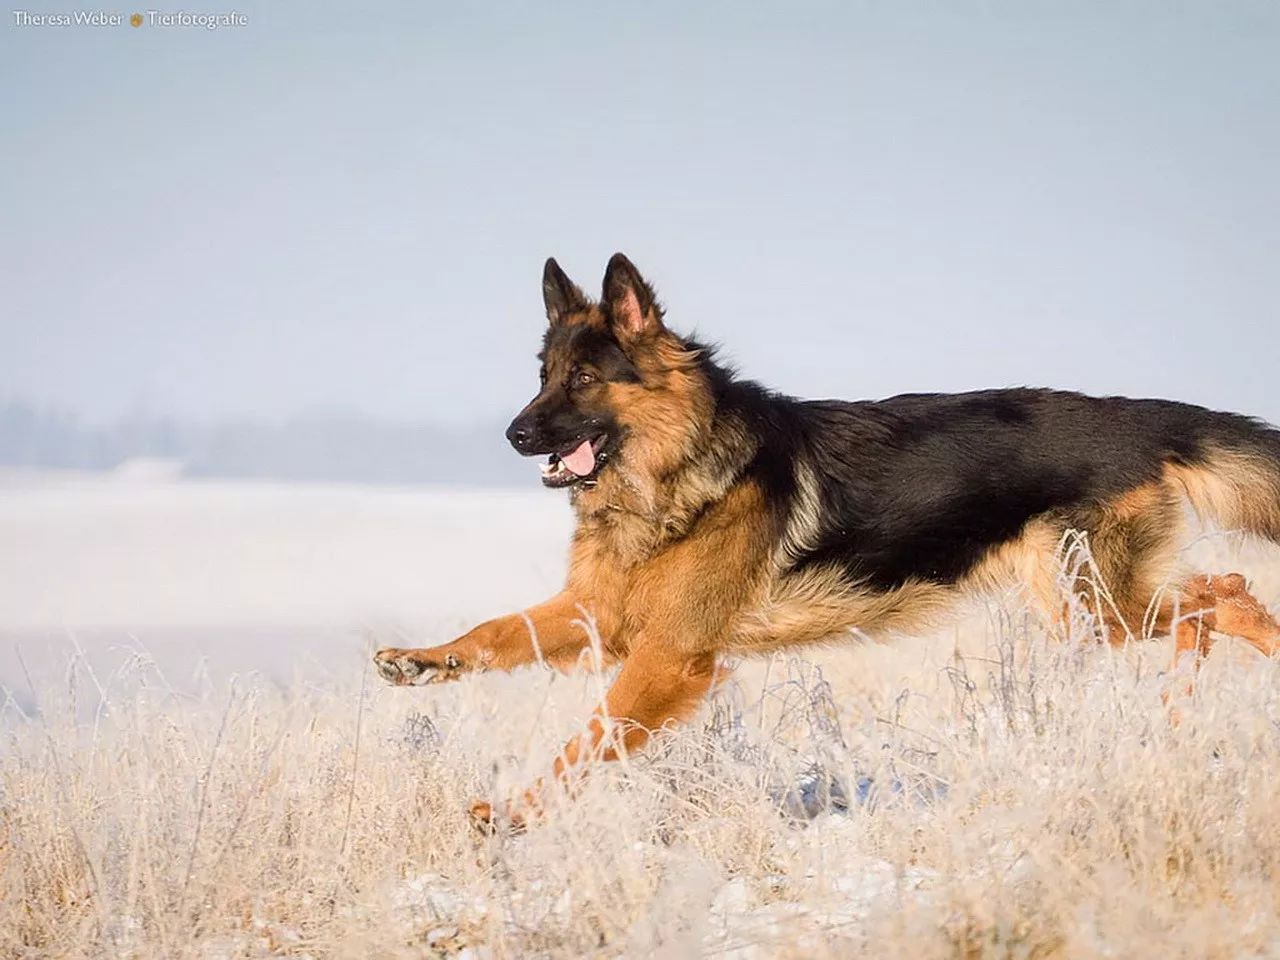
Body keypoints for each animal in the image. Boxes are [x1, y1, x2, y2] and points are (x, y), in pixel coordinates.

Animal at [373, 256, 1280, 829]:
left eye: (585, 379)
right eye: (542, 376)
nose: (514, 435)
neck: (682, 467)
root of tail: (1141, 417)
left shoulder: (668, 656)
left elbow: (588, 738)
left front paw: (511, 815)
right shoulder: (600, 613)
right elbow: (497, 631)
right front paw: (420, 662)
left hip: (1096, 605)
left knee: (1228, 595)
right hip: (1094, 608)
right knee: (1210, 602)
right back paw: (1178, 708)